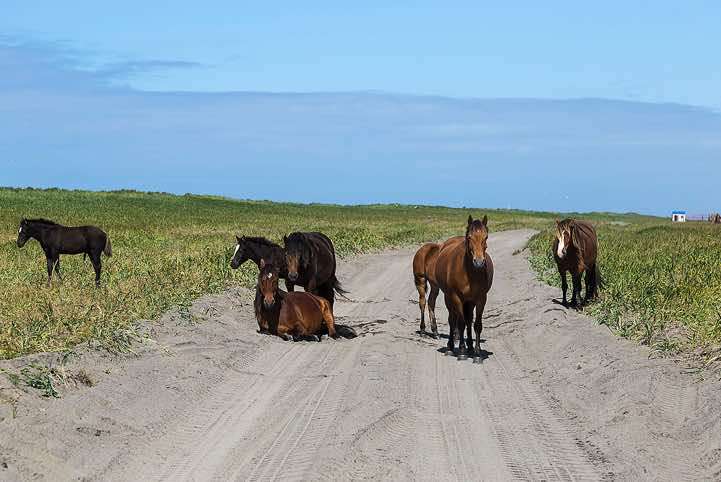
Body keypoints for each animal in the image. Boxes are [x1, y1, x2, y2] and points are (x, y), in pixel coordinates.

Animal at [435, 215, 494, 361]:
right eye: (469, 237)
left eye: (486, 237)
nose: (479, 262)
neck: (470, 272)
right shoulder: (456, 297)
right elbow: (460, 323)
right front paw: (461, 351)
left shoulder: (481, 299)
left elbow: (476, 325)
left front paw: (477, 353)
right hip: (449, 297)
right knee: (453, 320)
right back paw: (451, 348)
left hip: (470, 302)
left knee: (468, 320)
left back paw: (471, 348)